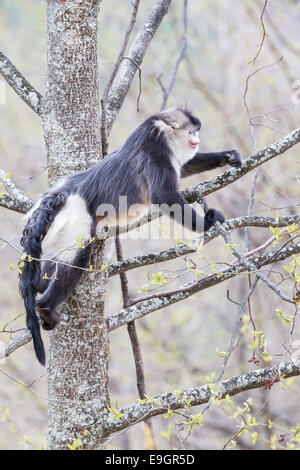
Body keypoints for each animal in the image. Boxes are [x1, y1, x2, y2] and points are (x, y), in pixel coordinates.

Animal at [19, 106, 241, 364]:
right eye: (192, 132)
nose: (196, 140)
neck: (160, 131)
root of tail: (64, 193)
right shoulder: (155, 152)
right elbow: (165, 196)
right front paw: (208, 221)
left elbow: (184, 167)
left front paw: (226, 157)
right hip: (76, 219)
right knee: (78, 257)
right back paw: (46, 307)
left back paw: (43, 287)